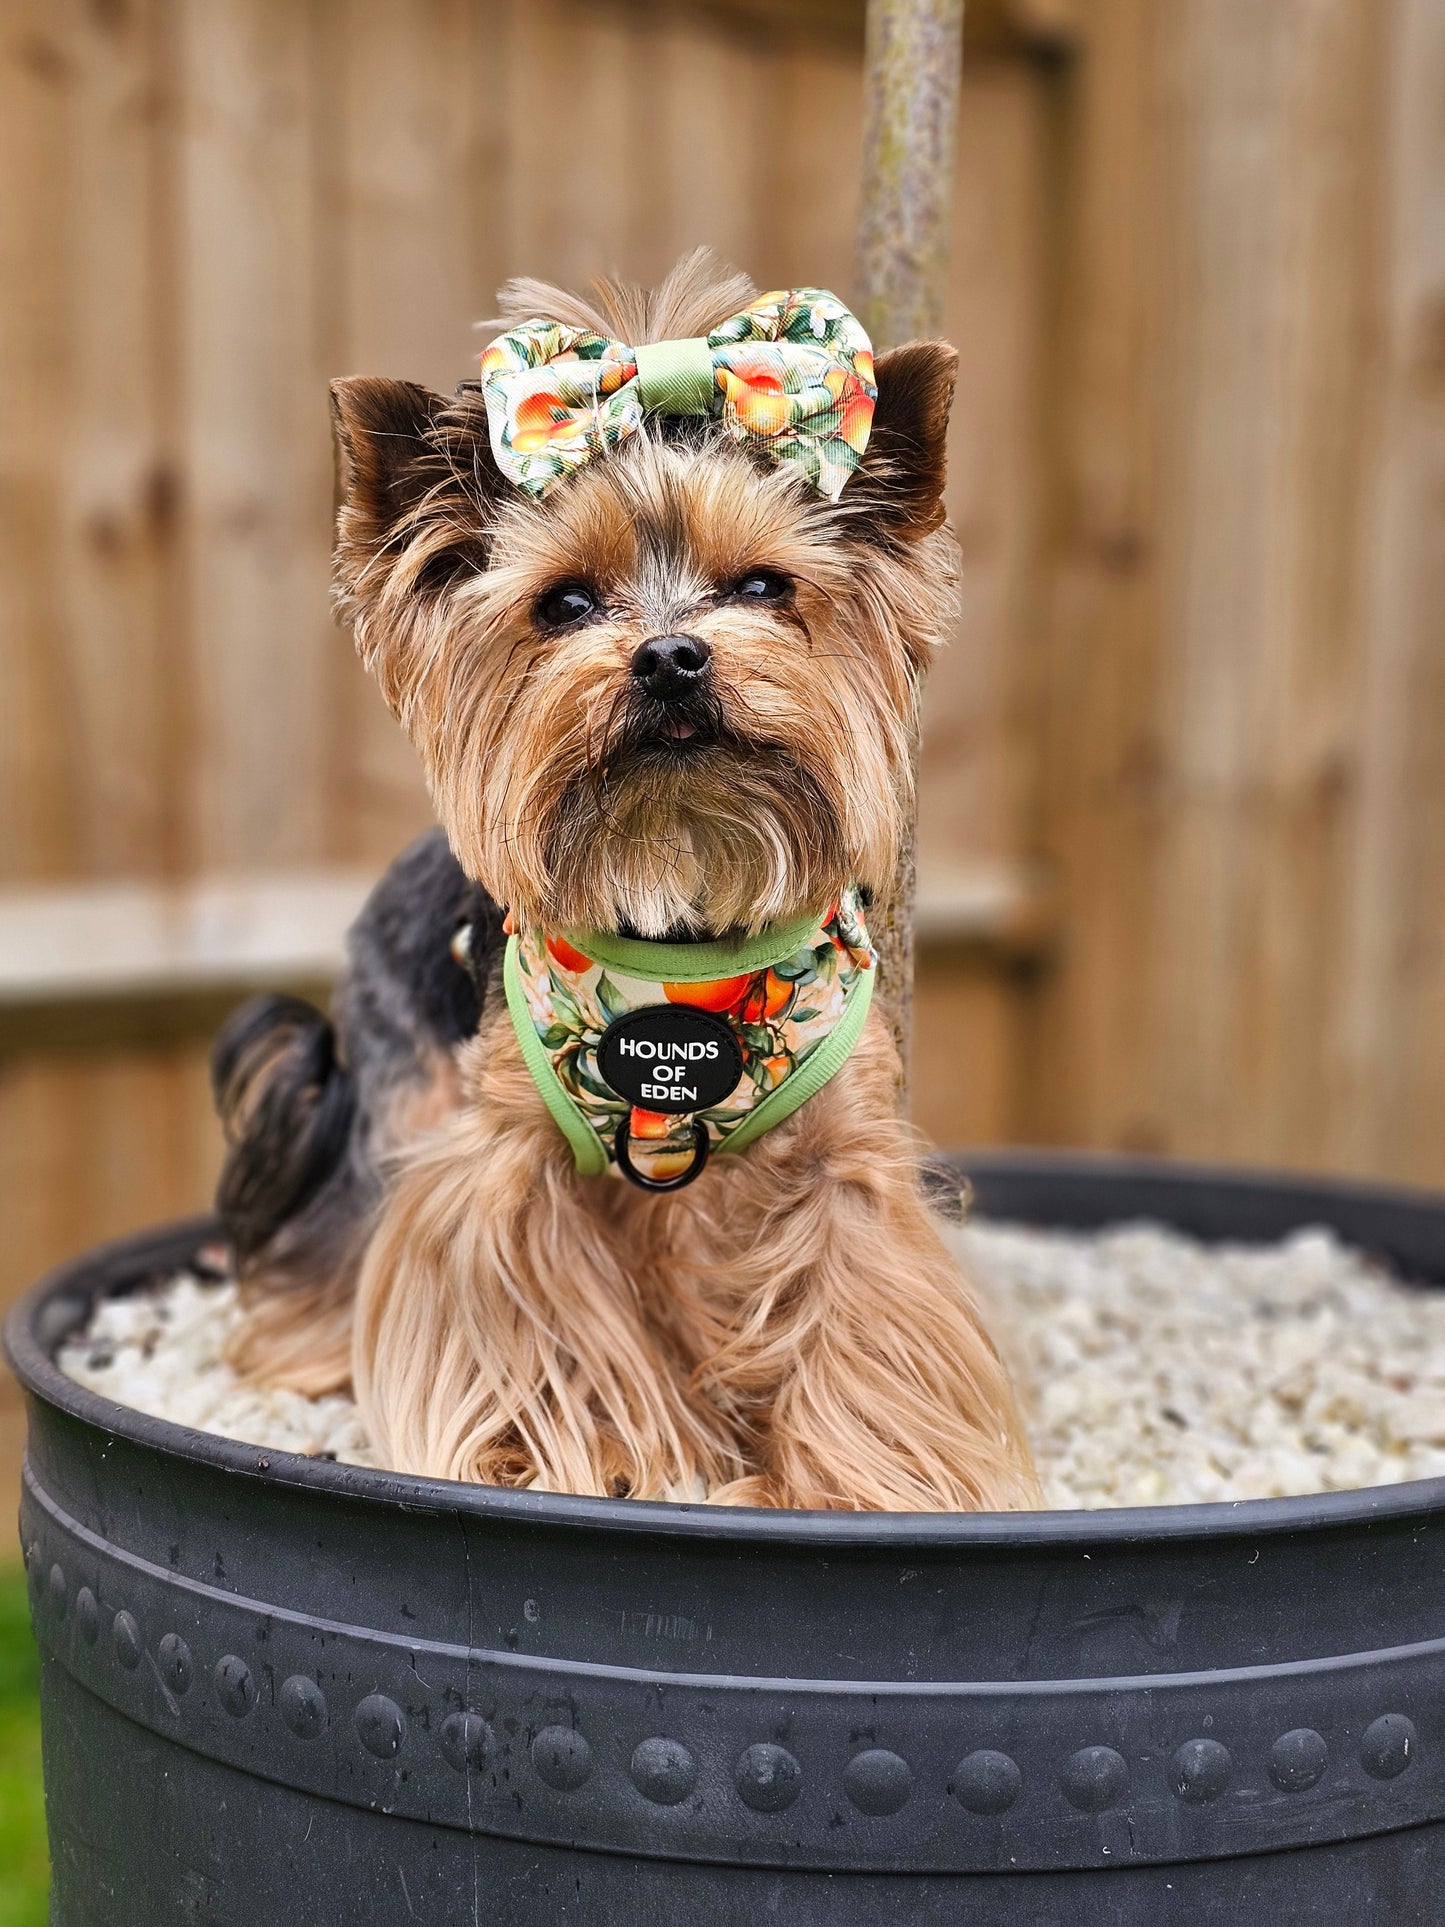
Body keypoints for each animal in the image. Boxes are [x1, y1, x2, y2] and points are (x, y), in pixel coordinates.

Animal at [209, 256, 1032, 1510]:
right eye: (563, 603)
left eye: (762, 586)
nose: (671, 654)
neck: (679, 901)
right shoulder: (509, 1163)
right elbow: (537, 1320)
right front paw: (565, 1453)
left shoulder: (843, 1154)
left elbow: (854, 1310)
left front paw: (860, 1479)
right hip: (406, 1085)